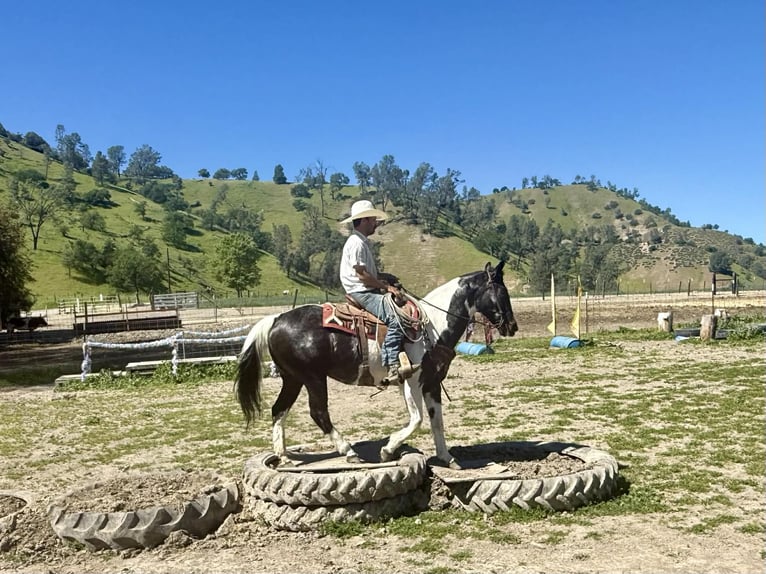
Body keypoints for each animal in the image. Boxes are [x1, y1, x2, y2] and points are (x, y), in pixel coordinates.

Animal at [235, 260, 518, 469]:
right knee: (318, 412)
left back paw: (284, 456)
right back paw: (348, 451)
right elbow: (417, 419)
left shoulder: (432, 382)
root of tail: (277, 318)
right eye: (503, 293)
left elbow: (436, 420)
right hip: (312, 378)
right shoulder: (410, 380)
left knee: (278, 409)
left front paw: (447, 458)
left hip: (293, 378)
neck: (432, 326)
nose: (512, 327)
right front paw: (388, 449)